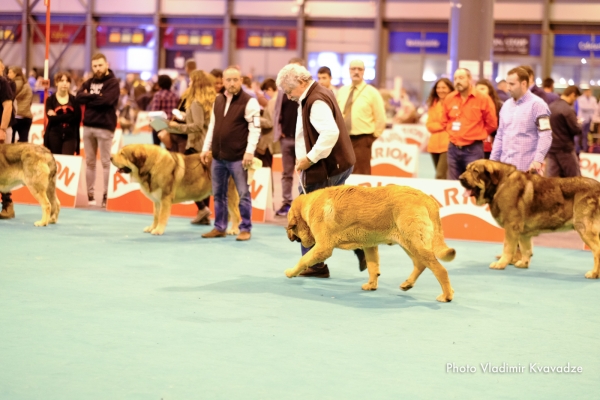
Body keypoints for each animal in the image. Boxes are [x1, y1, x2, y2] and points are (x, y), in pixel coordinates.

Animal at [109, 144, 240, 234]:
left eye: (123, 154)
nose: (110, 157)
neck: (152, 166)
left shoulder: (165, 198)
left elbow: (162, 216)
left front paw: (158, 230)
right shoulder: (157, 201)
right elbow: (156, 216)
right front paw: (152, 227)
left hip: (229, 194)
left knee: (236, 215)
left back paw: (234, 230)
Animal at [284, 186, 458, 302]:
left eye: (291, 226)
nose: (288, 236)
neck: (309, 206)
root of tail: (427, 199)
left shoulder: (322, 248)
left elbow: (304, 259)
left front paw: (291, 272)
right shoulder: (369, 245)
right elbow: (373, 267)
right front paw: (372, 285)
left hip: (414, 243)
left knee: (440, 270)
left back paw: (446, 295)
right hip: (409, 243)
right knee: (420, 264)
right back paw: (408, 284)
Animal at [460, 159, 600, 278]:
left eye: (475, 171)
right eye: (467, 169)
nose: (460, 178)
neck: (500, 184)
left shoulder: (511, 227)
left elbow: (507, 247)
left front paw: (501, 263)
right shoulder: (523, 232)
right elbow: (525, 248)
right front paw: (523, 263)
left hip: (584, 228)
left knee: (597, 251)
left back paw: (593, 273)